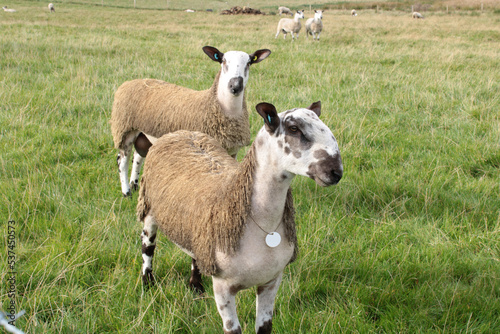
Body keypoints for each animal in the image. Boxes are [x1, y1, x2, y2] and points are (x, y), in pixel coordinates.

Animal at [111, 44, 272, 196]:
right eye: (223, 61)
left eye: (249, 63)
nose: (235, 86)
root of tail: (130, 82)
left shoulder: (232, 151)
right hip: (125, 129)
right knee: (122, 161)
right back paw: (126, 191)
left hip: (144, 134)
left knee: (138, 156)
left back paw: (134, 184)